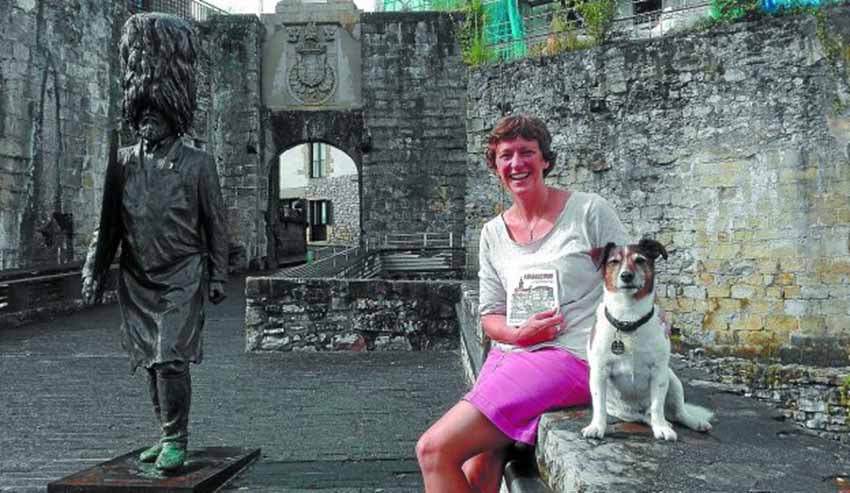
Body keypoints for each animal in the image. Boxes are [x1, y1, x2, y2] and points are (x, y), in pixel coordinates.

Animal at [580, 236, 712, 440]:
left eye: (640, 260)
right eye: (614, 261)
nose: (626, 276)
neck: (628, 320)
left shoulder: (658, 372)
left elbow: (657, 405)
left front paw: (662, 428)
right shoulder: (599, 372)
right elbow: (599, 405)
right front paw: (597, 427)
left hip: (673, 380)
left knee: (677, 412)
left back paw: (691, 422)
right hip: (625, 410)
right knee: (645, 416)